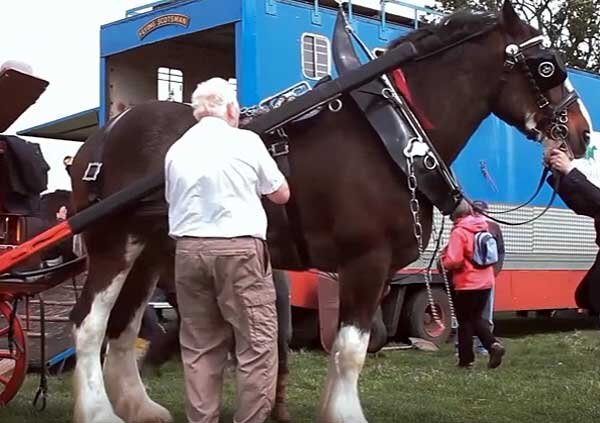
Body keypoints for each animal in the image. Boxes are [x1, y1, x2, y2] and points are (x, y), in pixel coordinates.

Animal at [69, 1, 592, 422]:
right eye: (547, 66)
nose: (583, 133)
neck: (393, 134)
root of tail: (104, 135)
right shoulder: (365, 261)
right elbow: (350, 351)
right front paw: (344, 413)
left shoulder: (376, 269)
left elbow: (351, 345)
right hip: (112, 244)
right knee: (89, 324)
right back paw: (98, 411)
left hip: (150, 252)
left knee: (123, 327)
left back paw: (138, 406)